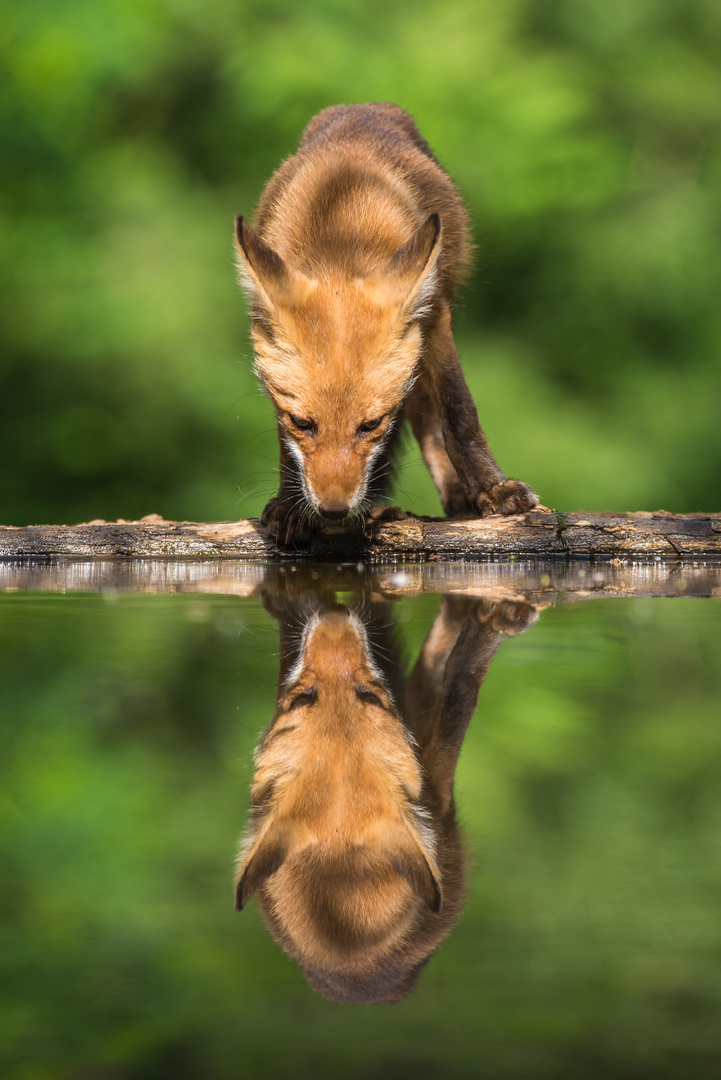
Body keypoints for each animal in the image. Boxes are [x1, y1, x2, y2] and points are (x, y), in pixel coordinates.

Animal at [234, 102, 537, 548]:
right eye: (302, 423)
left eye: (370, 425)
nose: (333, 510)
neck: (339, 236)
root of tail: (361, 107)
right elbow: (283, 442)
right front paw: (290, 505)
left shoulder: (434, 315)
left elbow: (458, 413)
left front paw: (492, 489)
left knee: (430, 418)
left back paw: (459, 496)